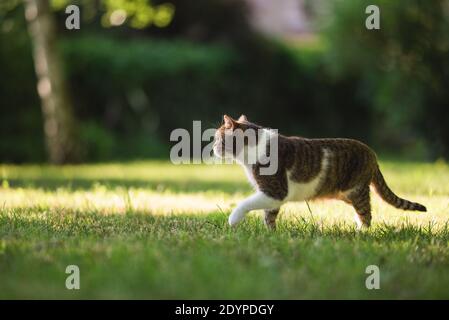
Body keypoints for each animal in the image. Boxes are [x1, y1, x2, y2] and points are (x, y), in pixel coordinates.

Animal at [214, 114, 428, 229]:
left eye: (218, 139)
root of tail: (373, 154)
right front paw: (271, 235)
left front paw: (233, 220)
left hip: (356, 190)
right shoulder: (271, 196)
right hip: (346, 194)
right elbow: (269, 216)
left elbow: (246, 203)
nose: (213, 147)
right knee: (362, 212)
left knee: (366, 214)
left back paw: (361, 234)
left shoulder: (274, 191)